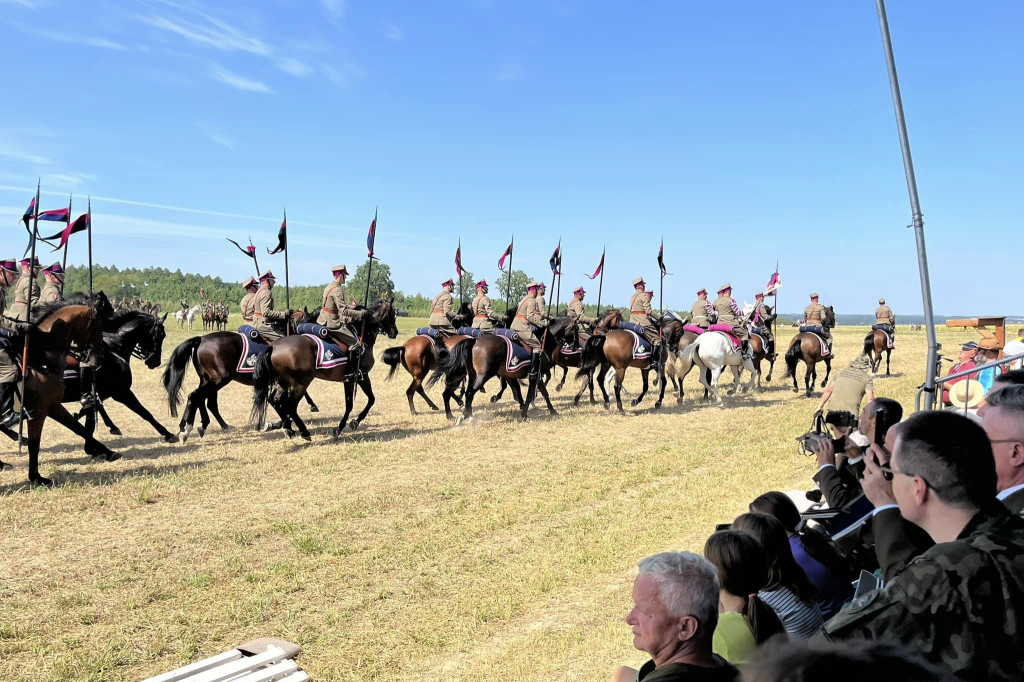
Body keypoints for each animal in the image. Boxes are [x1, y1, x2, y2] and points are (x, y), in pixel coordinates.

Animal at [0, 296, 117, 483]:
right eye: (99, 326)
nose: (99, 356)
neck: (42, 358)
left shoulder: (53, 406)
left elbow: (79, 429)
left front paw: (107, 452)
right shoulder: (38, 411)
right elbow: (35, 444)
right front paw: (36, 477)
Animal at [162, 307, 319, 438]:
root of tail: (201, 339)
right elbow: (300, 394)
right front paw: (309, 407)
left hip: (208, 380)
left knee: (205, 401)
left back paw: (201, 426)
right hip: (219, 380)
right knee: (197, 397)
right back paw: (189, 428)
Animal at [249, 299, 401, 438]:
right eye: (393, 313)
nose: (395, 332)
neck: (361, 334)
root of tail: (274, 346)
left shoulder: (349, 380)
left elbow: (351, 403)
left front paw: (343, 426)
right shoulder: (362, 376)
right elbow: (369, 400)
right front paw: (351, 423)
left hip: (283, 382)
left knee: (274, 400)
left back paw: (289, 428)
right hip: (299, 384)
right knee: (290, 406)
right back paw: (303, 431)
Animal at [423, 315, 577, 419]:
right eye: (576, 328)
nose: (574, 346)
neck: (543, 341)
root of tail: (474, 341)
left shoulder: (517, 375)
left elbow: (518, 390)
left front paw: (524, 408)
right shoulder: (536, 374)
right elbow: (541, 392)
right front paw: (550, 410)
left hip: (468, 375)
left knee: (455, 392)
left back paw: (460, 413)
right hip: (482, 376)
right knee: (468, 393)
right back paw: (466, 416)